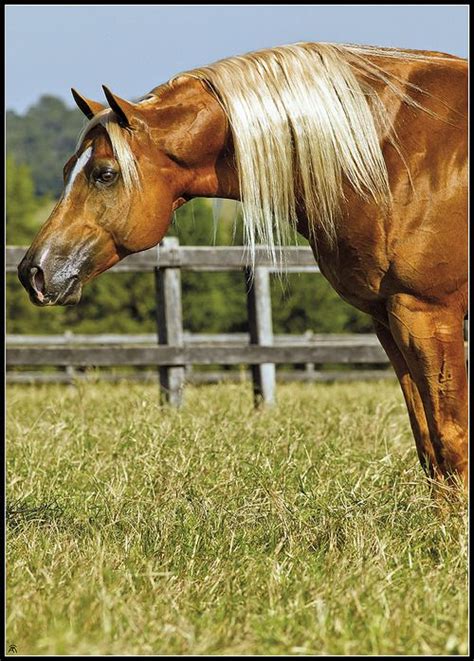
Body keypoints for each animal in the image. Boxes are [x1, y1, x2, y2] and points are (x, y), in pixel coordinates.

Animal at [17, 41, 466, 484]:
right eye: (66, 169)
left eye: (104, 174)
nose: (33, 272)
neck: (388, 151)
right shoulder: (386, 319)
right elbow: (427, 443)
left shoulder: (427, 314)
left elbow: (450, 439)